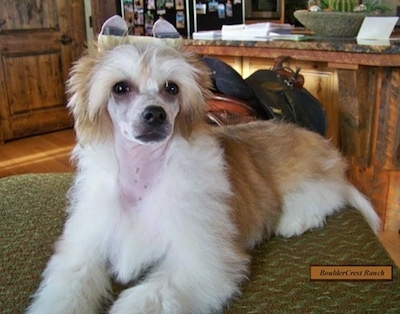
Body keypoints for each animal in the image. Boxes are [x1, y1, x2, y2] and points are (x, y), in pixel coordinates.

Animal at [27, 17, 378, 314]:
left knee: (326, 196)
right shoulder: (82, 254)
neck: (144, 175)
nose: (155, 114)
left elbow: (145, 300)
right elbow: (66, 292)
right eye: (120, 88)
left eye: (172, 87)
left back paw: (296, 218)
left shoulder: (201, 263)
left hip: (312, 180)